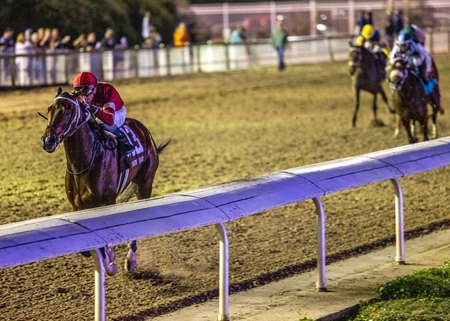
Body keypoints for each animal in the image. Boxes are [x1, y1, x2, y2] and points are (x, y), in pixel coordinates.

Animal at [40, 87, 169, 276]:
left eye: (68, 110)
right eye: (50, 109)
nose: (48, 140)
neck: (83, 163)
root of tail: (143, 129)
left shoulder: (107, 201)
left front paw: (111, 261)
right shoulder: (77, 206)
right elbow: (87, 249)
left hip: (145, 183)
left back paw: (131, 260)